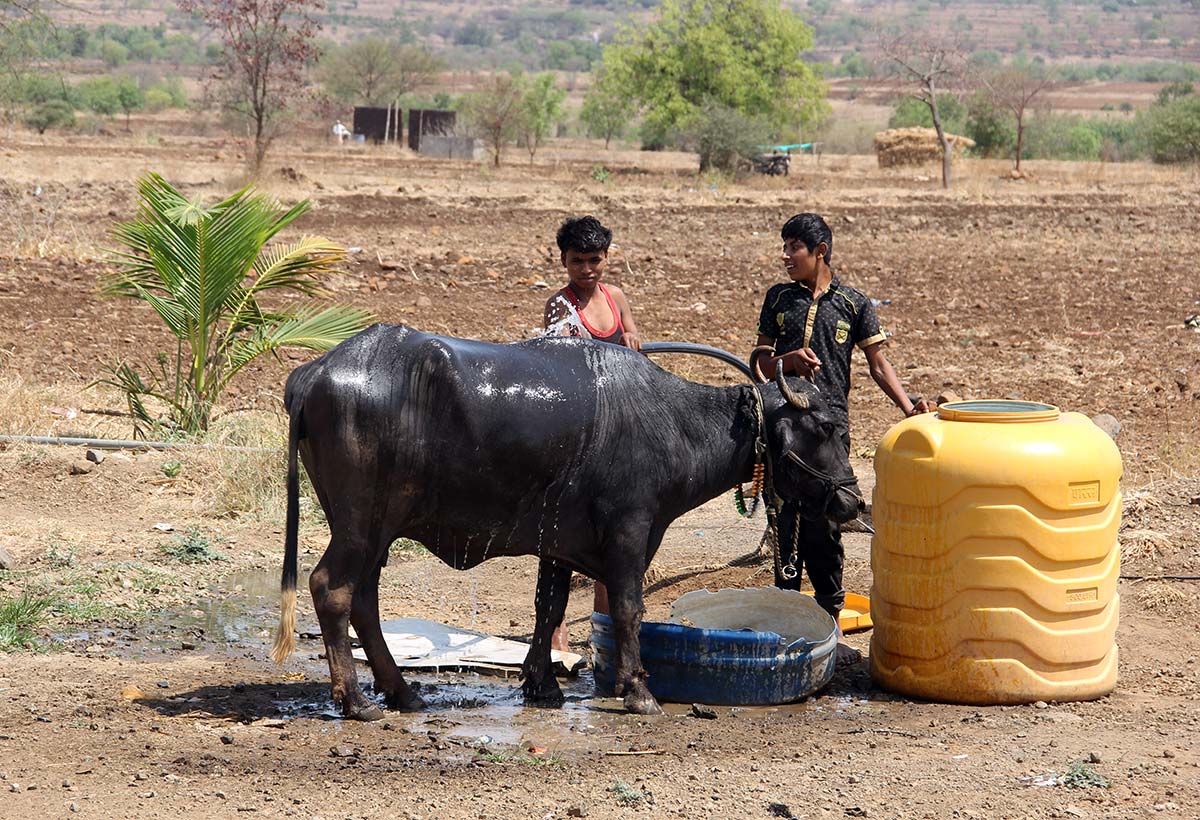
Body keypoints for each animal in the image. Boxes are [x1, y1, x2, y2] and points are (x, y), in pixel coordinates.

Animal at [272, 324, 864, 715]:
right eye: (828, 430)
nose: (852, 502)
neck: (673, 423)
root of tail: (313, 373)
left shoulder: (556, 543)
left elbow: (549, 607)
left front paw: (542, 685)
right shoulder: (631, 532)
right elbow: (627, 609)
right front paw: (638, 691)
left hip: (377, 530)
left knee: (364, 599)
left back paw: (400, 691)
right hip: (360, 525)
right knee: (332, 588)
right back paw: (356, 700)